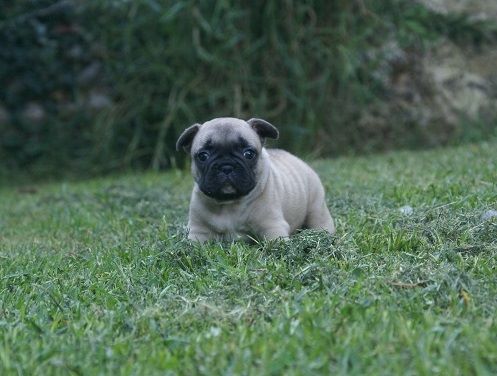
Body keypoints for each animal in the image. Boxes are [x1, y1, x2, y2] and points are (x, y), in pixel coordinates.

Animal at [176, 116, 336, 242]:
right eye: (203, 156)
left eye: (249, 154)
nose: (226, 166)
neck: (229, 203)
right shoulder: (198, 230)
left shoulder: (272, 227)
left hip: (316, 208)